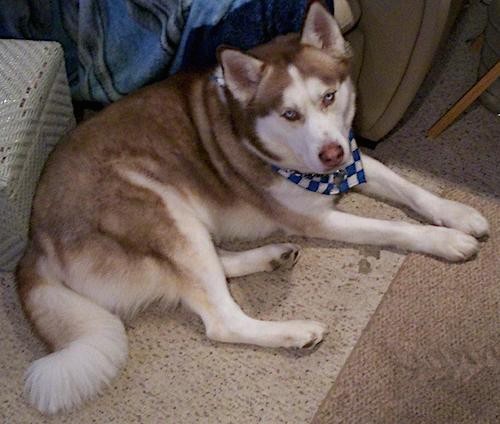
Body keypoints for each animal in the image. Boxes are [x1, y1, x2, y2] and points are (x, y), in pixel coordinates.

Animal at [17, 1, 490, 416]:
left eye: (329, 97)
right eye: (289, 113)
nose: (331, 154)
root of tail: (33, 240)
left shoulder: (355, 158)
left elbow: (412, 189)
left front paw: (458, 213)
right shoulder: (314, 217)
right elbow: (391, 228)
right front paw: (447, 240)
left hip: (185, 224)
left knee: (214, 267)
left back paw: (272, 256)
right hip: (162, 208)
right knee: (222, 320)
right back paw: (295, 329)